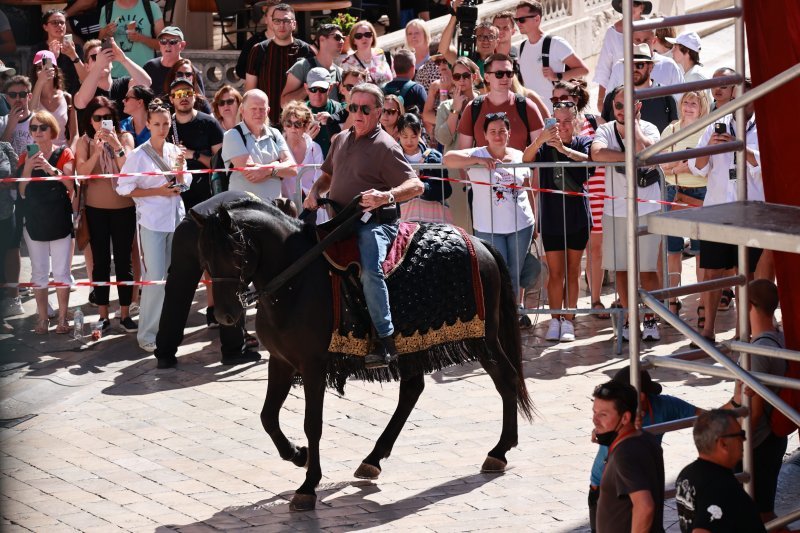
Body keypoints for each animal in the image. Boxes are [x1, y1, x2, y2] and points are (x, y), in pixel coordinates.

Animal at [194, 197, 532, 510]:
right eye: (204, 255)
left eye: (234, 251)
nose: (224, 315)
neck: (293, 281)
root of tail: (479, 242)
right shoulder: (280, 361)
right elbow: (267, 417)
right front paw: (298, 455)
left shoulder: (313, 365)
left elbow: (312, 424)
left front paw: (308, 485)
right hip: (415, 344)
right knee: (412, 391)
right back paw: (373, 458)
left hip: (484, 338)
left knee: (507, 379)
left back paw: (500, 451)